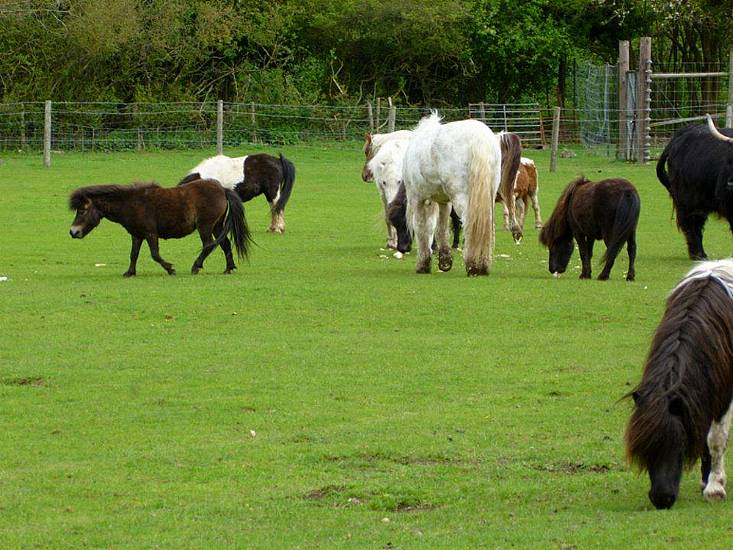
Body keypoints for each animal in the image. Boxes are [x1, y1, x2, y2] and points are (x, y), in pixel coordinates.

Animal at [69, 180, 252, 278]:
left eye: (82, 210)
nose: (73, 232)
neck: (131, 203)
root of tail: (222, 189)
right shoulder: (137, 235)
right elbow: (133, 254)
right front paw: (130, 272)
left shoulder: (150, 233)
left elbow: (155, 255)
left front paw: (170, 268)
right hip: (217, 225)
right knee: (225, 244)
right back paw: (228, 268)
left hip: (205, 226)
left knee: (209, 245)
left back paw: (196, 266)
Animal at [620, 260, 732, 512]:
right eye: (645, 446)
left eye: (680, 443)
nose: (662, 499)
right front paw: (706, 481)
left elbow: (716, 439)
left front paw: (715, 488)